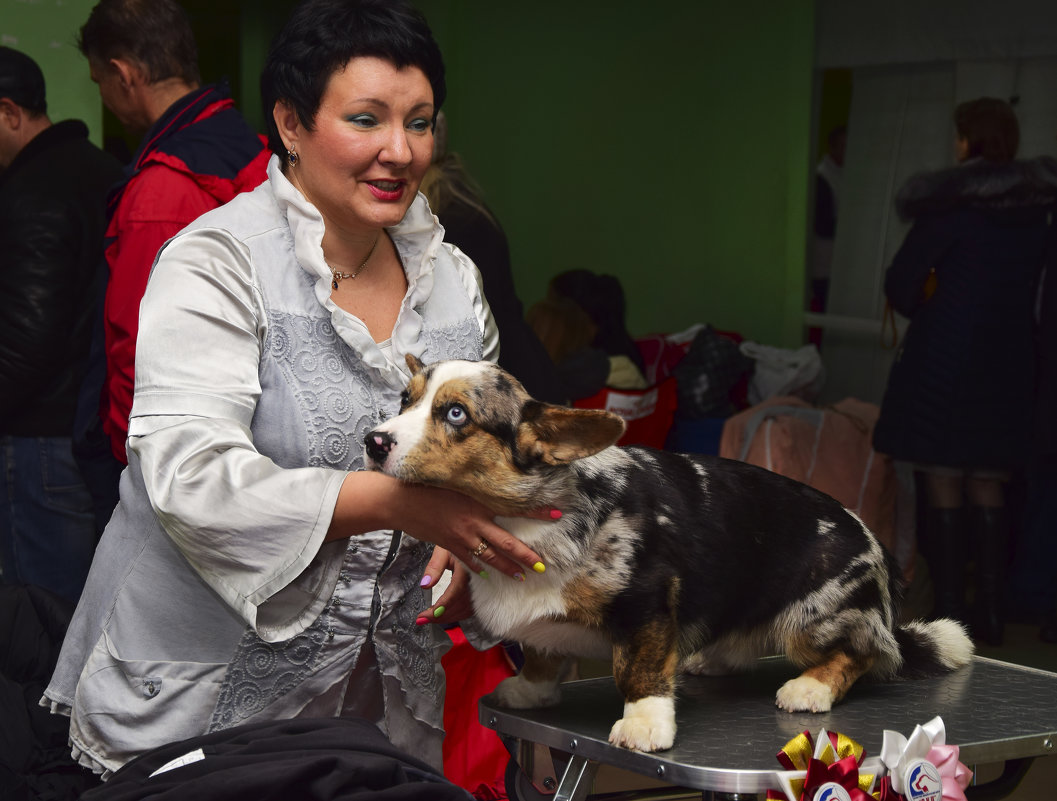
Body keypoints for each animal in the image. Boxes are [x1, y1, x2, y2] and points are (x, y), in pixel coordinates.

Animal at [365, 357, 972, 752]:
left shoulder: (647, 603)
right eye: (405, 400)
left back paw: (809, 687)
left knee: (864, 654)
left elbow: (639, 671)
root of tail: (877, 547)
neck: (522, 514)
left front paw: (644, 726)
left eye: (456, 415)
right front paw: (530, 689)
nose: (374, 441)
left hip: (814, 619)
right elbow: (539, 653)